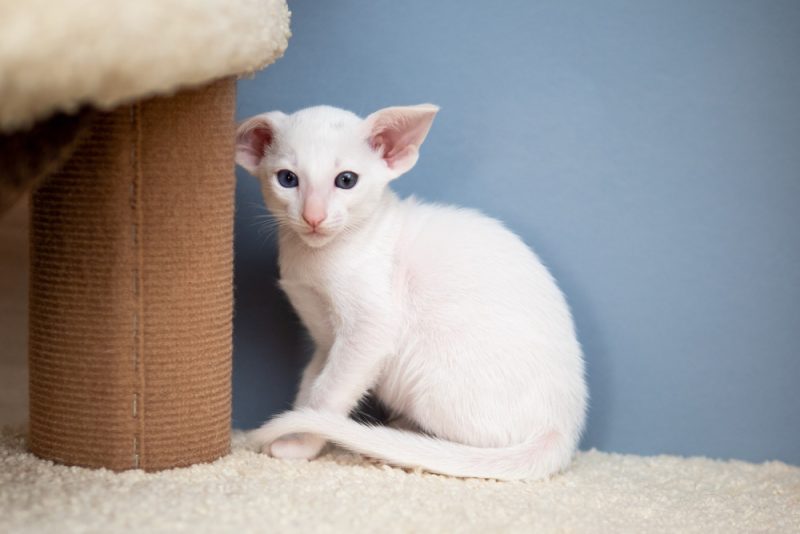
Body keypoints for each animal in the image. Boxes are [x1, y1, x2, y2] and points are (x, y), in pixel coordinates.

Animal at [234, 103, 584, 482]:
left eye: (346, 180)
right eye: (287, 179)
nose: (314, 216)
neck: (314, 258)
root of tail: (562, 432)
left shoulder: (370, 329)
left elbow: (326, 396)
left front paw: (300, 444)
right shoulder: (325, 340)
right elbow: (309, 386)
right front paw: (297, 429)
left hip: (430, 379)